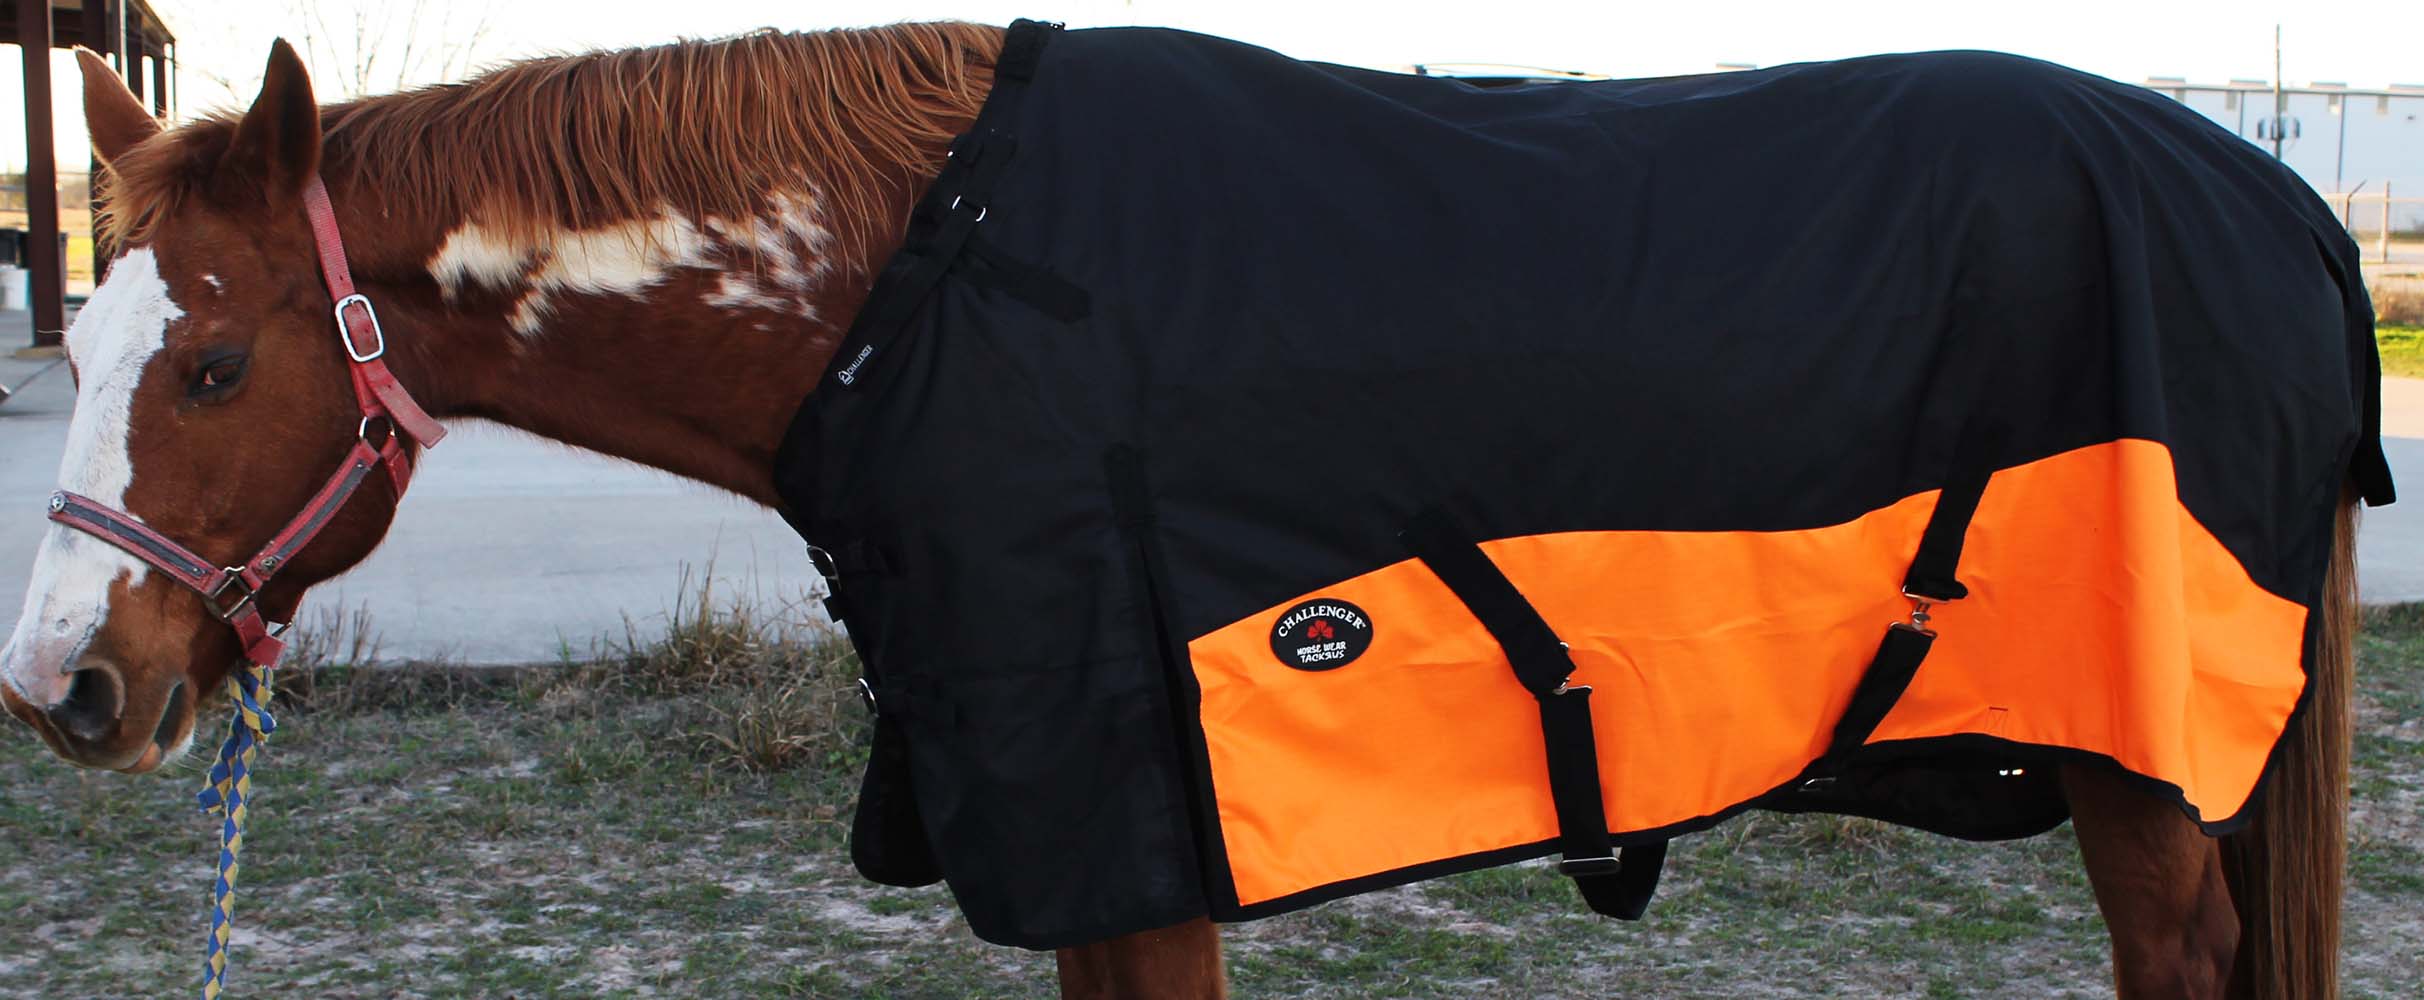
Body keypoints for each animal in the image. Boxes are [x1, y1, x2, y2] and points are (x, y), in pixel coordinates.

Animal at [0, 21, 2371, 999]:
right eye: (86, 348)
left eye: (213, 366)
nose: (66, 687)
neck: (914, 281)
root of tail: (2273, 202)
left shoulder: (1133, 834)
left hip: (2141, 759)